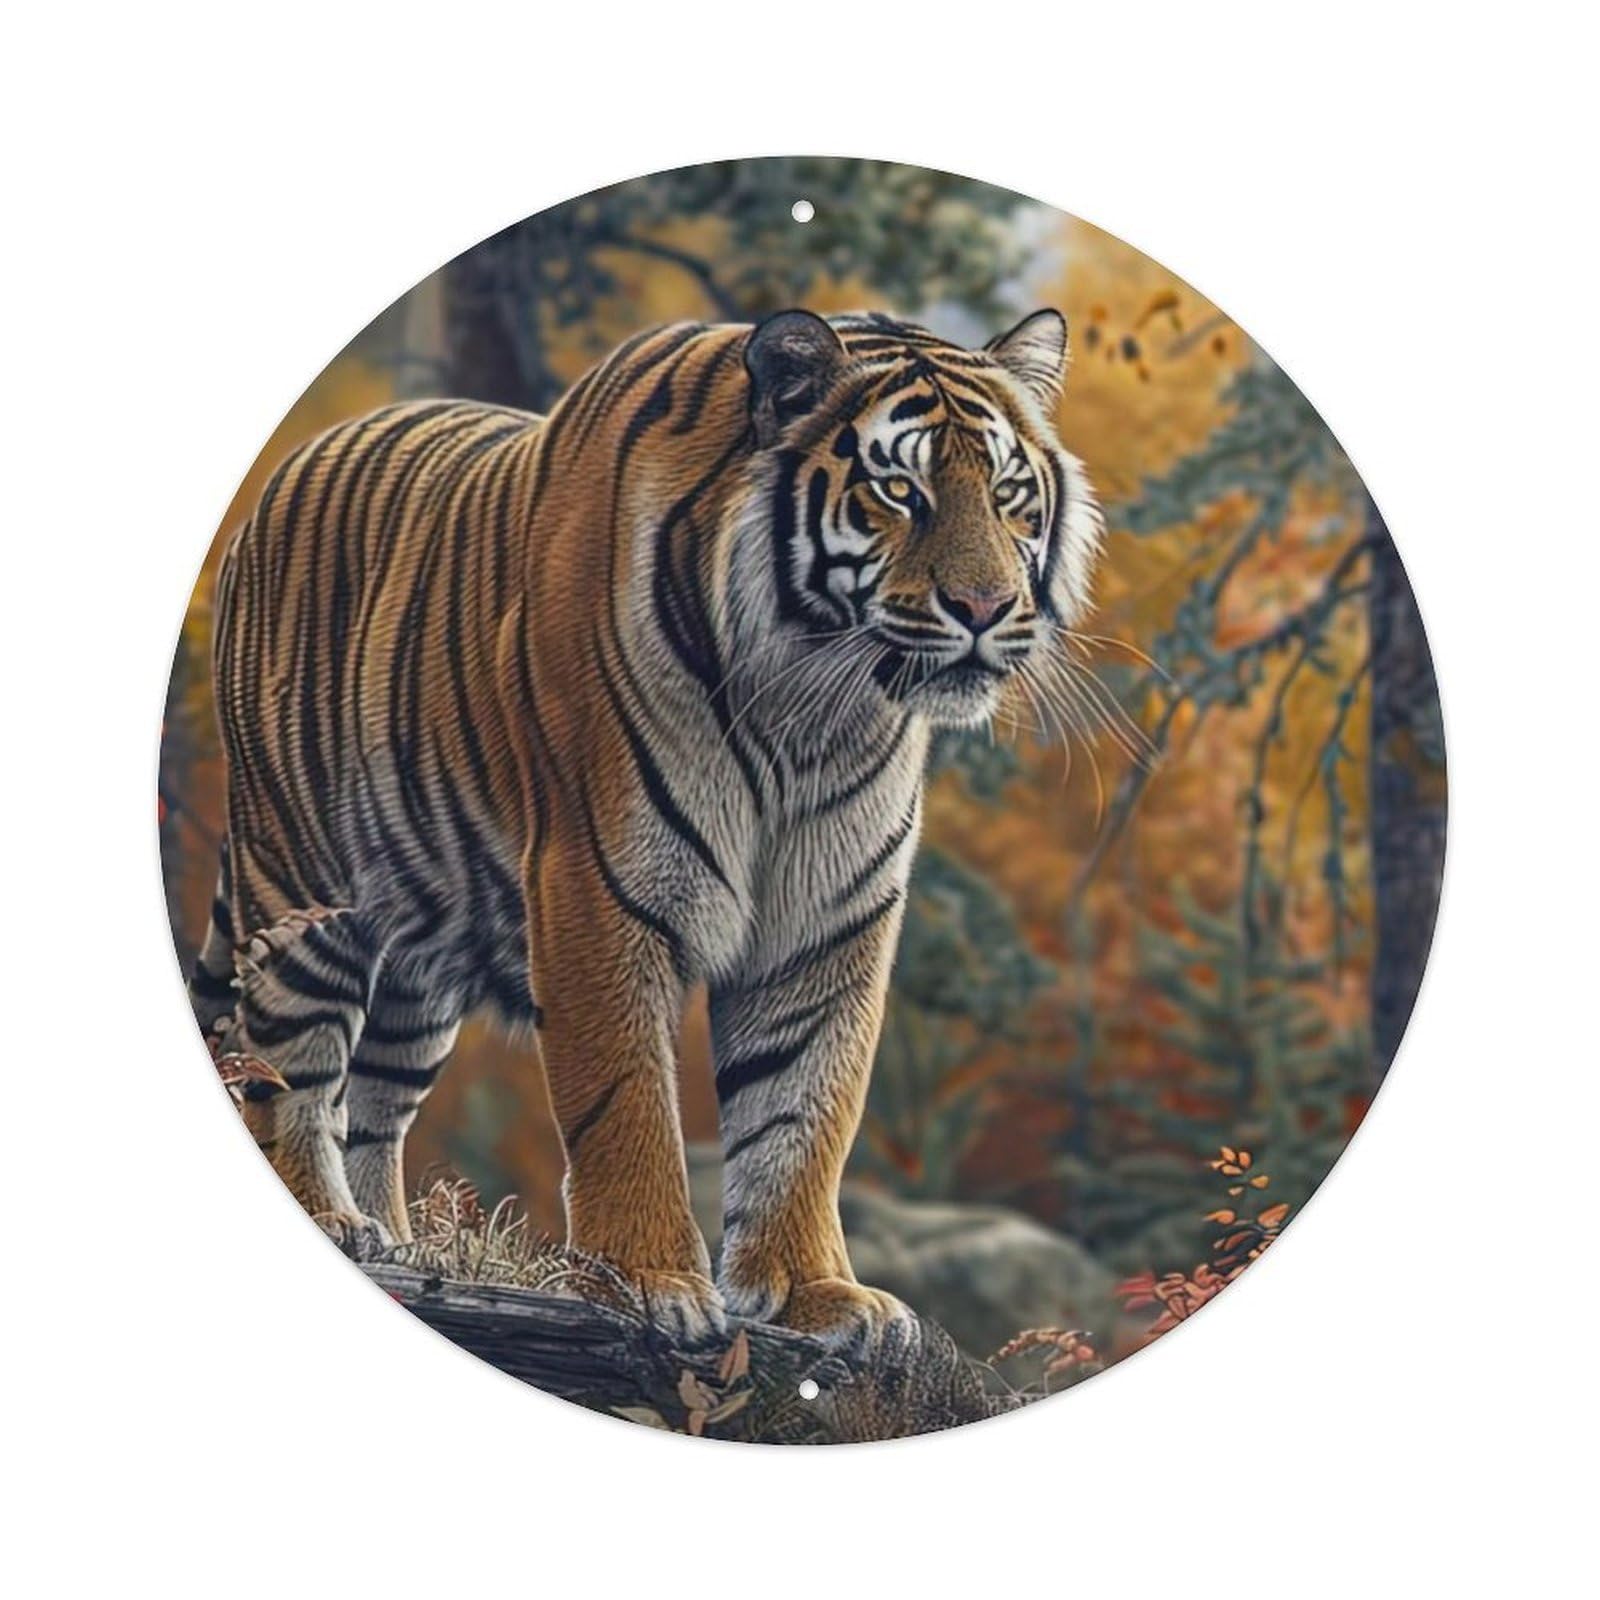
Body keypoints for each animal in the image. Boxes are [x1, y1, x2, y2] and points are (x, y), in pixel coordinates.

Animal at [190, 306, 1102, 1351]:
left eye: (1008, 496)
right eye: (898, 491)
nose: (986, 610)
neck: (812, 715)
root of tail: (290, 465)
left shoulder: (828, 921)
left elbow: (804, 1110)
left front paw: (818, 1294)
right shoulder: (597, 886)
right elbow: (624, 1096)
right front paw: (648, 1284)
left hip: (422, 946)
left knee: (375, 1104)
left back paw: (395, 1242)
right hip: (302, 883)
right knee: (290, 1070)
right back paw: (334, 1221)